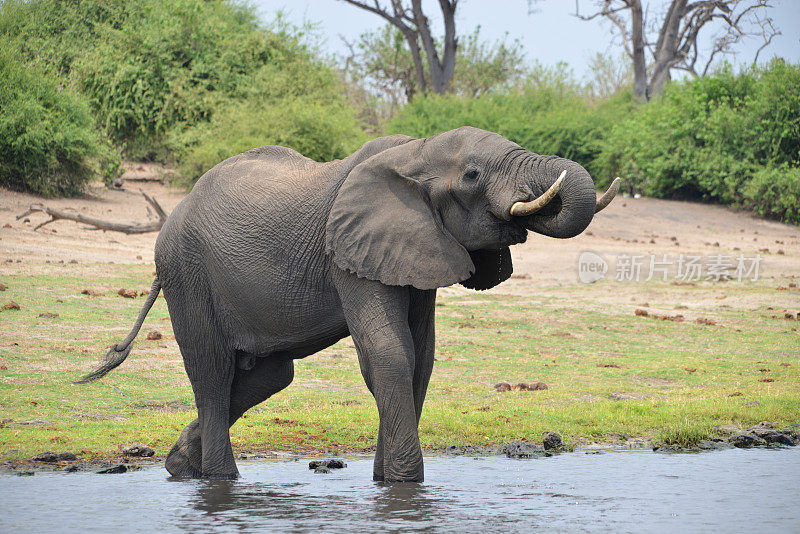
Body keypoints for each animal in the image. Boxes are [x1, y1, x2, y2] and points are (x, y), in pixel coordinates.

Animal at [79, 127, 620, 484]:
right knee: (212, 373)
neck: (414, 152)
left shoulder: (416, 248)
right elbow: (390, 351)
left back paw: (179, 466)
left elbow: (421, 356)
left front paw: (385, 481)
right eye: (472, 175)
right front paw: (404, 482)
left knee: (267, 377)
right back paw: (218, 479)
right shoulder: (349, 251)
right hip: (187, 273)